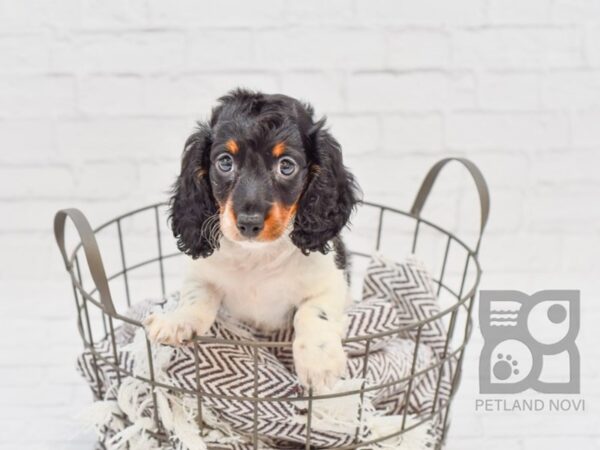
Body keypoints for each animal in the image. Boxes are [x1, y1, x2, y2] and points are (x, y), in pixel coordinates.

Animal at [144, 89, 360, 392]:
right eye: (225, 162)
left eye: (286, 166)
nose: (248, 222)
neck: (257, 257)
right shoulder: (202, 276)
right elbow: (196, 299)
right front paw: (177, 321)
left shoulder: (330, 282)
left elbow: (312, 313)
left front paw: (319, 361)